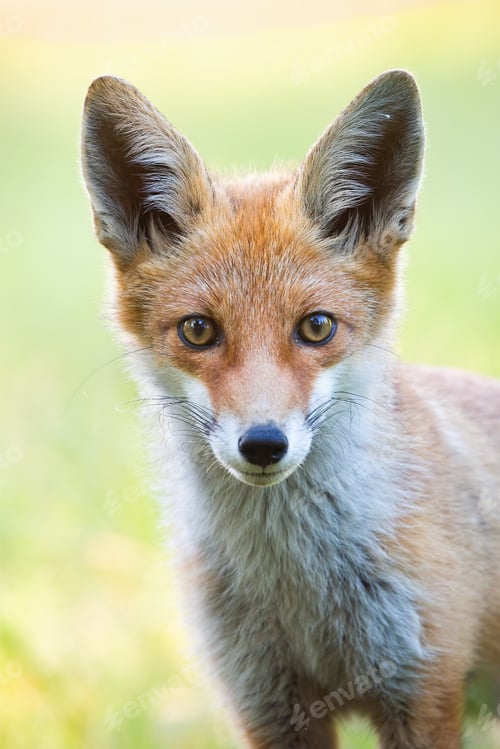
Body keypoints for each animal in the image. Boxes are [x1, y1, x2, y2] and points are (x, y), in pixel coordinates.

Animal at [81, 70, 500, 748]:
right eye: (198, 330)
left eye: (317, 327)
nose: (263, 444)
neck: (296, 586)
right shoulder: (267, 703)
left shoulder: (424, 688)